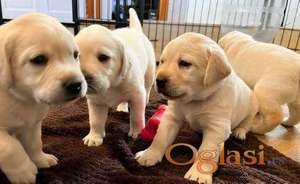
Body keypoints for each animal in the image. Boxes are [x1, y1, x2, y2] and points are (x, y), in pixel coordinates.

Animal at [0, 12, 87, 183]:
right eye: (38, 60)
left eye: (75, 55)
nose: (76, 85)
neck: (23, 98)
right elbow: (10, 147)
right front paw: (24, 172)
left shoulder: (32, 124)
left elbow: (35, 143)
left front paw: (40, 159)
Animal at [75, 9, 156, 147]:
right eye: (75, 57)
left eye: (103, 57)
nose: (84, 79)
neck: (111, 85)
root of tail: (134, 30)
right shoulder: (95, 102)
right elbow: (95, 121)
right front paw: (94, 136)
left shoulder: (137, 95)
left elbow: (137, 117)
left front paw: (137, 132)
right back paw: (122, 108)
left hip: (149, 74)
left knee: (148, 89)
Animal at [135, 33, 256, 184]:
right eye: (162, 61)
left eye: (184, 63)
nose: (159, 80)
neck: (194, 100)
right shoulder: (171, 117)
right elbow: (160, 138)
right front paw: (149, 154)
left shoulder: (217, 128)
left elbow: (207, 152)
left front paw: (199, 175)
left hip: (252, 107)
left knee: (247, 123)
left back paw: (239, 132)